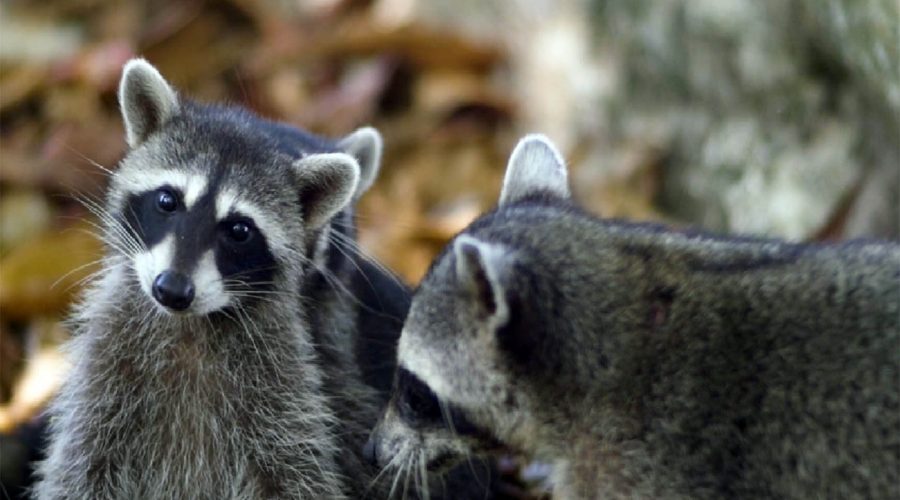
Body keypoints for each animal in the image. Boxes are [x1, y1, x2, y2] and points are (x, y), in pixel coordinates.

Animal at [32, 59, 404, 500]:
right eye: (167, 201)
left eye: (239, 231)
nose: (172, 290)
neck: (188, 326)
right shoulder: (104, 386)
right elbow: (82, 467)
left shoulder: (286, 403)